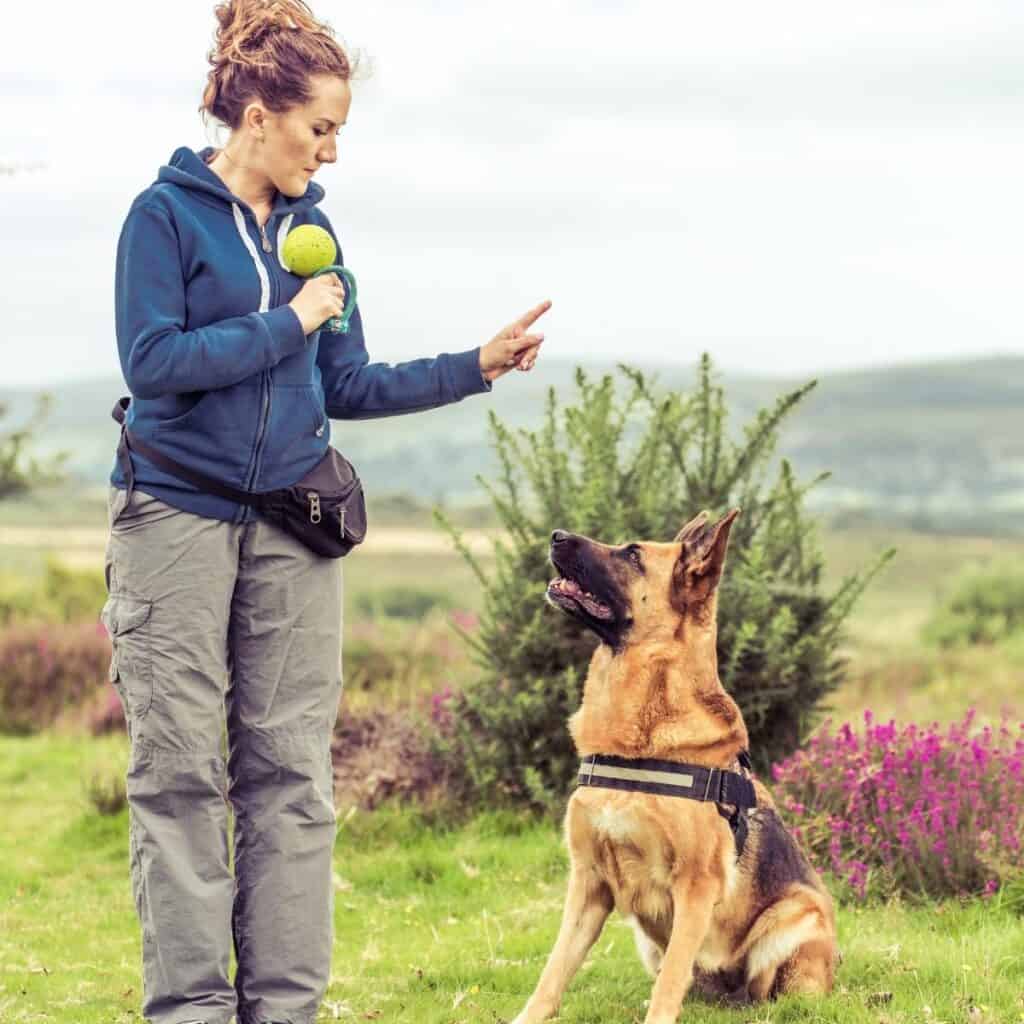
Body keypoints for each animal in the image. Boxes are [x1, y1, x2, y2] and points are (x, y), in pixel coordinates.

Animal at [512, 507, 839, 1019]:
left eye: (632, 554)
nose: (556, 534)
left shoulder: (696, 887)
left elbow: (669, 985)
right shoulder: (587, 884)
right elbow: (554, 971)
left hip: (795, 917)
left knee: (769, 992)